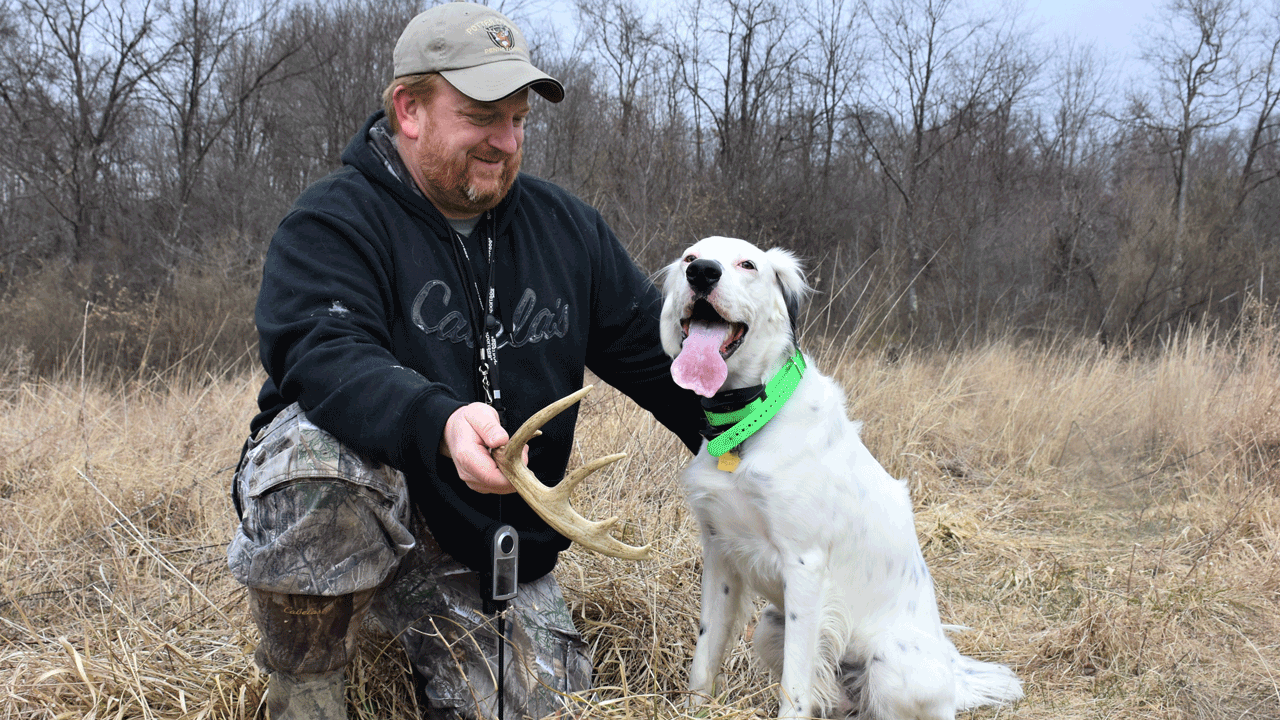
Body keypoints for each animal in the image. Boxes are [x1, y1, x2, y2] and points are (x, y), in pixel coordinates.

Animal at [660, 237, 1018, 717]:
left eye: (747, 264)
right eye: (689, 258)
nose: (702, 273)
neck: (748, 421)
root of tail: (954, 677)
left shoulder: (805, 567)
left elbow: (794, 690)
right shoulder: (720, 554)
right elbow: (705, 656)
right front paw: (694, 707)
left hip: (891, 663)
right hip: (770, 627)